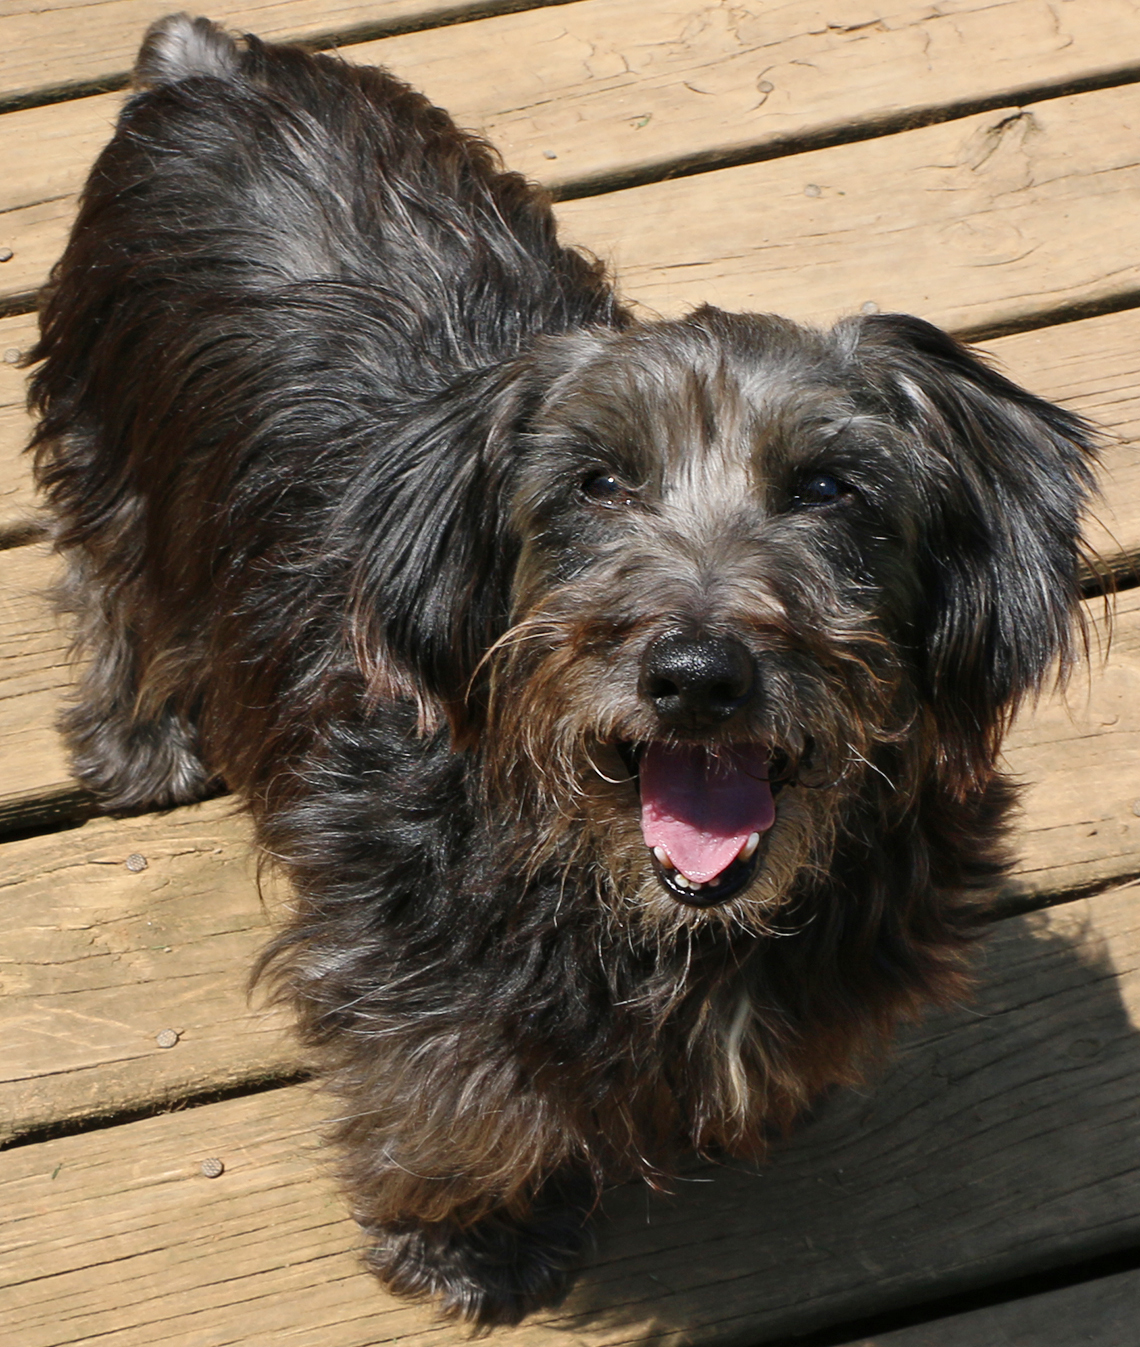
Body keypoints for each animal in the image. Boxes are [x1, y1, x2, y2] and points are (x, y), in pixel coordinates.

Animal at [24, 15, 1099, 1325]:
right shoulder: (414, 966)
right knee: (111, 584)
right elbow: (456, 1097)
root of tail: (209, 61)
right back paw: (142, 741)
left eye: (829, 487)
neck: (660, 918)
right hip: (107, 438)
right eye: (597, 483)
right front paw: (472, 1241)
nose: (696, 676)